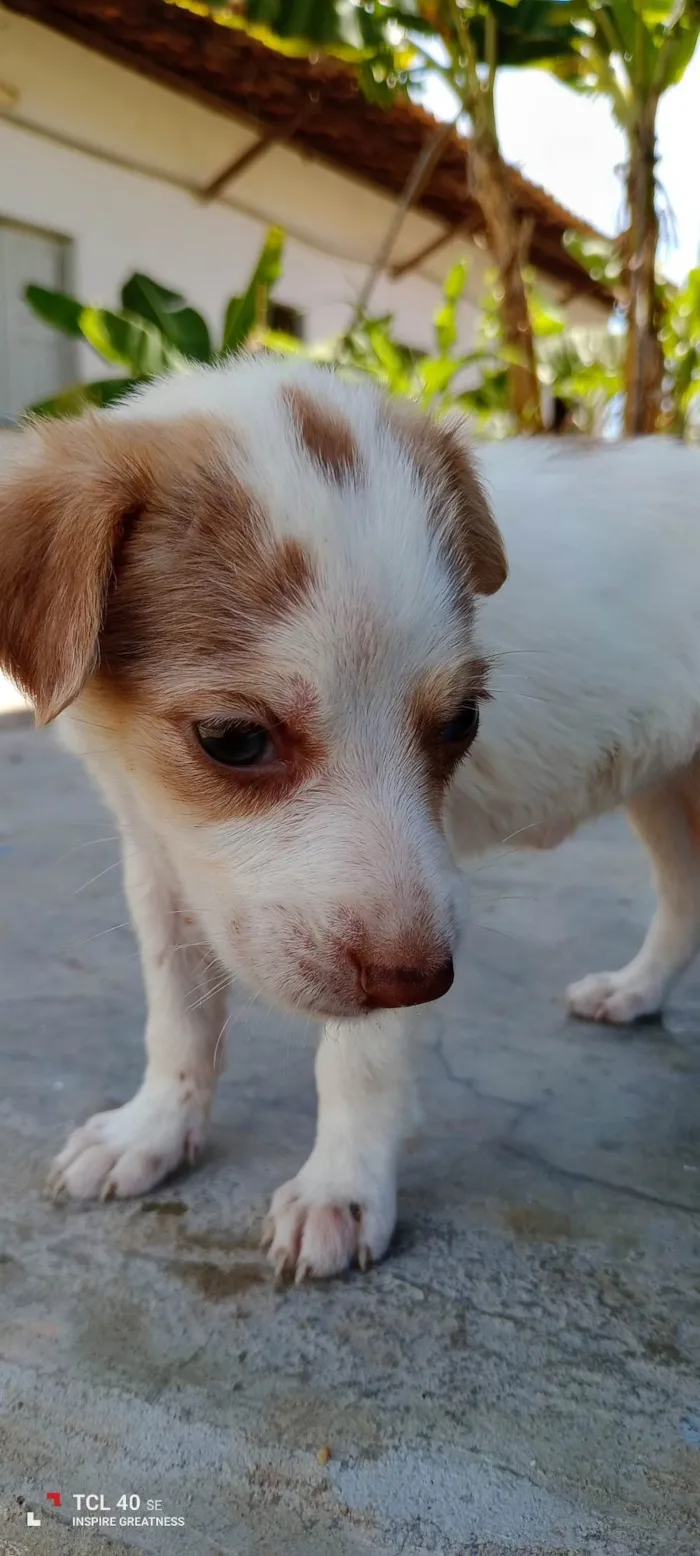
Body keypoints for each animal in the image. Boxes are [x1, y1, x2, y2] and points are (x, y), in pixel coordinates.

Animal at [1, 357, 700, 1282]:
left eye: (462, 723)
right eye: (233, 739)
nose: (429, 982)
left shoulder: (418, 908)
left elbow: (359, 1059)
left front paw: (342, 1187)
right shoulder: (159, 860)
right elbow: (178, 1016)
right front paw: (153, 1130)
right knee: (685, 900)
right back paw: (636, 990)